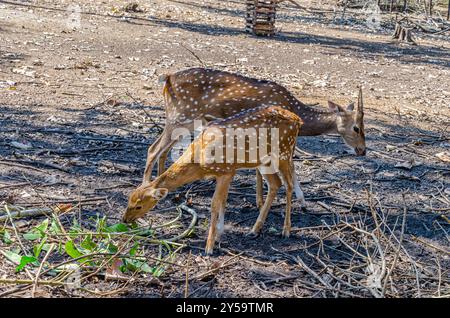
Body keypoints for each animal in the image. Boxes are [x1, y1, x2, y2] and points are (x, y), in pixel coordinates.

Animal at [123, 105, 302, 255]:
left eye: (139, 206)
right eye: (129, 199)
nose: (124, 219)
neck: (200, 161)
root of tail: (297, 119)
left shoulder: (226, 171)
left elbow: (215, 203)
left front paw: (209, 246)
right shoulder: (227, 173)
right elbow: (223, 200)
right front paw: (219, 234)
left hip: (284, 151)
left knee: (288, 184)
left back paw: (286, 230)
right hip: (263, 160)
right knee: (275, 184)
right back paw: (254, 229)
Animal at [144, 67, 366, 206]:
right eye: (356, 128)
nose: (363, 150)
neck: (295, 110)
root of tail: (167, 78)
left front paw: (260, 200)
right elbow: (288, 167)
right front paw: (300, 201)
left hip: (184, 122)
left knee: (163, 150)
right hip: (179, 116)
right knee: (153, 149)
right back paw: (147, 187)